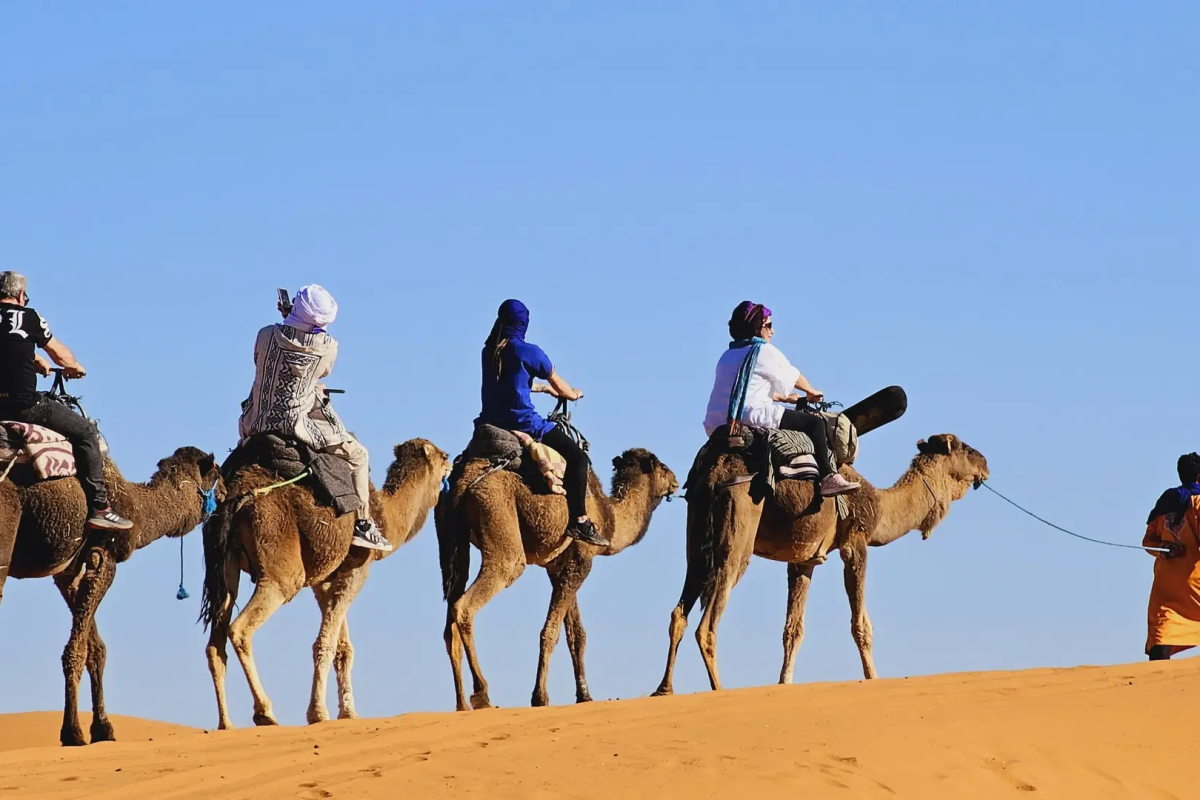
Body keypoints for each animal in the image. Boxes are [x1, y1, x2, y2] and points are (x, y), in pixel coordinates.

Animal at [0, 446, 222, 746]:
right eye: (218, 474)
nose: (227, 492)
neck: (138, 508)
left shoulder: (70, 570)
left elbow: (96, 649)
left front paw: (103, 729)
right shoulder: (105, 555)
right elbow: (77, 649)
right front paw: (73, 733)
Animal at [200, 438, 450, 729]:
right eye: (444, 456)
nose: (451, 463)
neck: (384, 515)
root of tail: (236, 498)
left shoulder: (325, 580)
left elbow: (344, 649)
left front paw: (349, 713)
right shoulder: (356, 570)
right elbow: (325, 643)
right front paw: (318, 714)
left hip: (225, 565)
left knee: (215, 642)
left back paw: (226, 724)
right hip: (282, 570)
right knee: (241, 628)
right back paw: (265, 713)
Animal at [438, 447, 678, 711]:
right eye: (663, 468)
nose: (676, 482)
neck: (608, 516)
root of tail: (463, 483)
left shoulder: (559, 567)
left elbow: (576, 634)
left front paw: (585, 696)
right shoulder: (582, 561)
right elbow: (550, 632)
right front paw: (540, 698)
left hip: (453, 541)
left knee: (450, 618)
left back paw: (461, 704)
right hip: (498, 519)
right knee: (470, 601)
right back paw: (482, 694)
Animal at [653, 433, 988, 696]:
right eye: (964, 447)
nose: (985, 464)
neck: (880, 506)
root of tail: (716, 469)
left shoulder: (803, 560)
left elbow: (793, 628)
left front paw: (784, 682)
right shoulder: (856, 542)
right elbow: (861, 624)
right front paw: (873, 678)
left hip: (697, 534)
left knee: (680, 611)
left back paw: (664, 689)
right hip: (739, 521)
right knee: (709, 620)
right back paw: (719, 689)